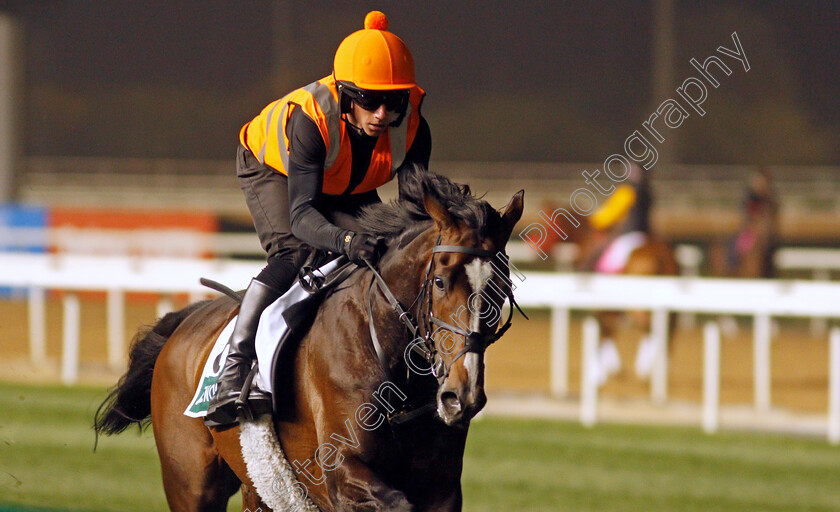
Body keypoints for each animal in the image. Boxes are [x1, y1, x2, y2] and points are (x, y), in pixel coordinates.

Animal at [95, 169, 520, 512]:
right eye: (440, 282)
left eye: (501, 288)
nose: (461, 396)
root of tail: (185, 321)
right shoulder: (340, 471)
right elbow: (395, 502)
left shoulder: (442, 486)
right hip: (191, 483)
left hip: (257, 483)